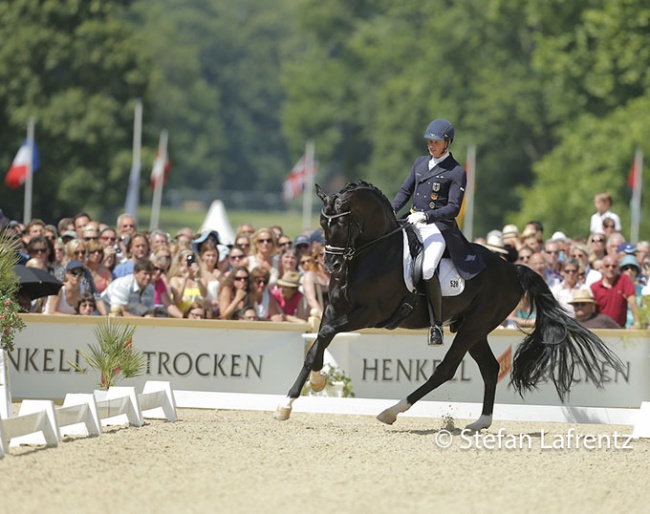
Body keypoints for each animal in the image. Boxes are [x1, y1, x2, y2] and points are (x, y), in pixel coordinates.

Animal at [274, 180, 624, 428]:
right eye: (322, 224)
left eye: (342, 224)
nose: (331, 265)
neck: (373, 253)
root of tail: (512, 269)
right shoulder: (335, 308)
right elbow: (317, 343)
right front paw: (292, 399)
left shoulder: (371, 314)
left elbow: (326, 335)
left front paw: (308, 388)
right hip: (473, 328)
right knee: (490, 368)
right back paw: (480, 422)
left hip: (473, 327)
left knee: (446, 369)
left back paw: (391, 412)